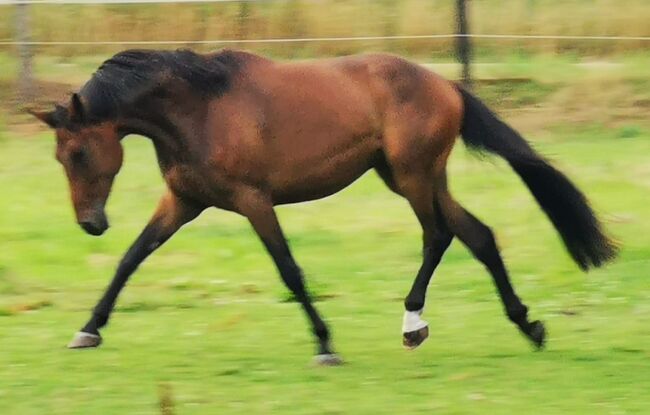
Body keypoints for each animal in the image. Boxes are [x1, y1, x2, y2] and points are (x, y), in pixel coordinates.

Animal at [29, 48, 616, 366]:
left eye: (78, 153)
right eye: (58, 157)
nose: (90, 224)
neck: (196, 110)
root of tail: (446, 83)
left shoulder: (253, 201)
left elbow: (289, 270)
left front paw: (326, 344)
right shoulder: (183, 201)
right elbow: (131, 259)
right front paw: (88, 330)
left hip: (413, 176)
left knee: (439, 235)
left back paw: (413, 323)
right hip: (412, 176)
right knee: (478, 235)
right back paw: (527, 326)